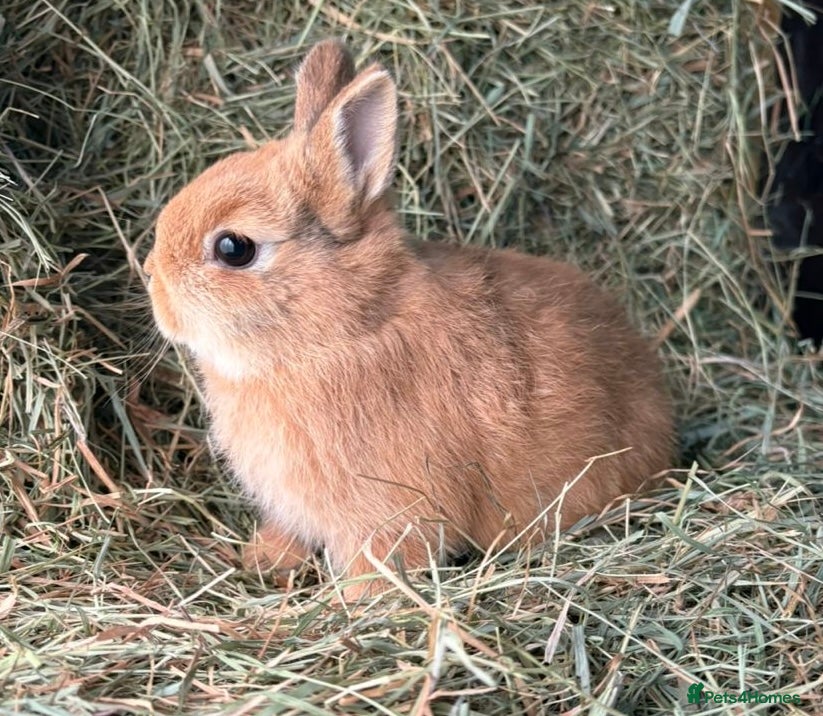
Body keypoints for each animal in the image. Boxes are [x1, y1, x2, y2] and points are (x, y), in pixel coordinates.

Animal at [143, 40, 674, 601]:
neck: (347, 329)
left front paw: (355, 607)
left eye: (233, 248)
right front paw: (263, 559)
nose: (150, 276)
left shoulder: (389, 514)